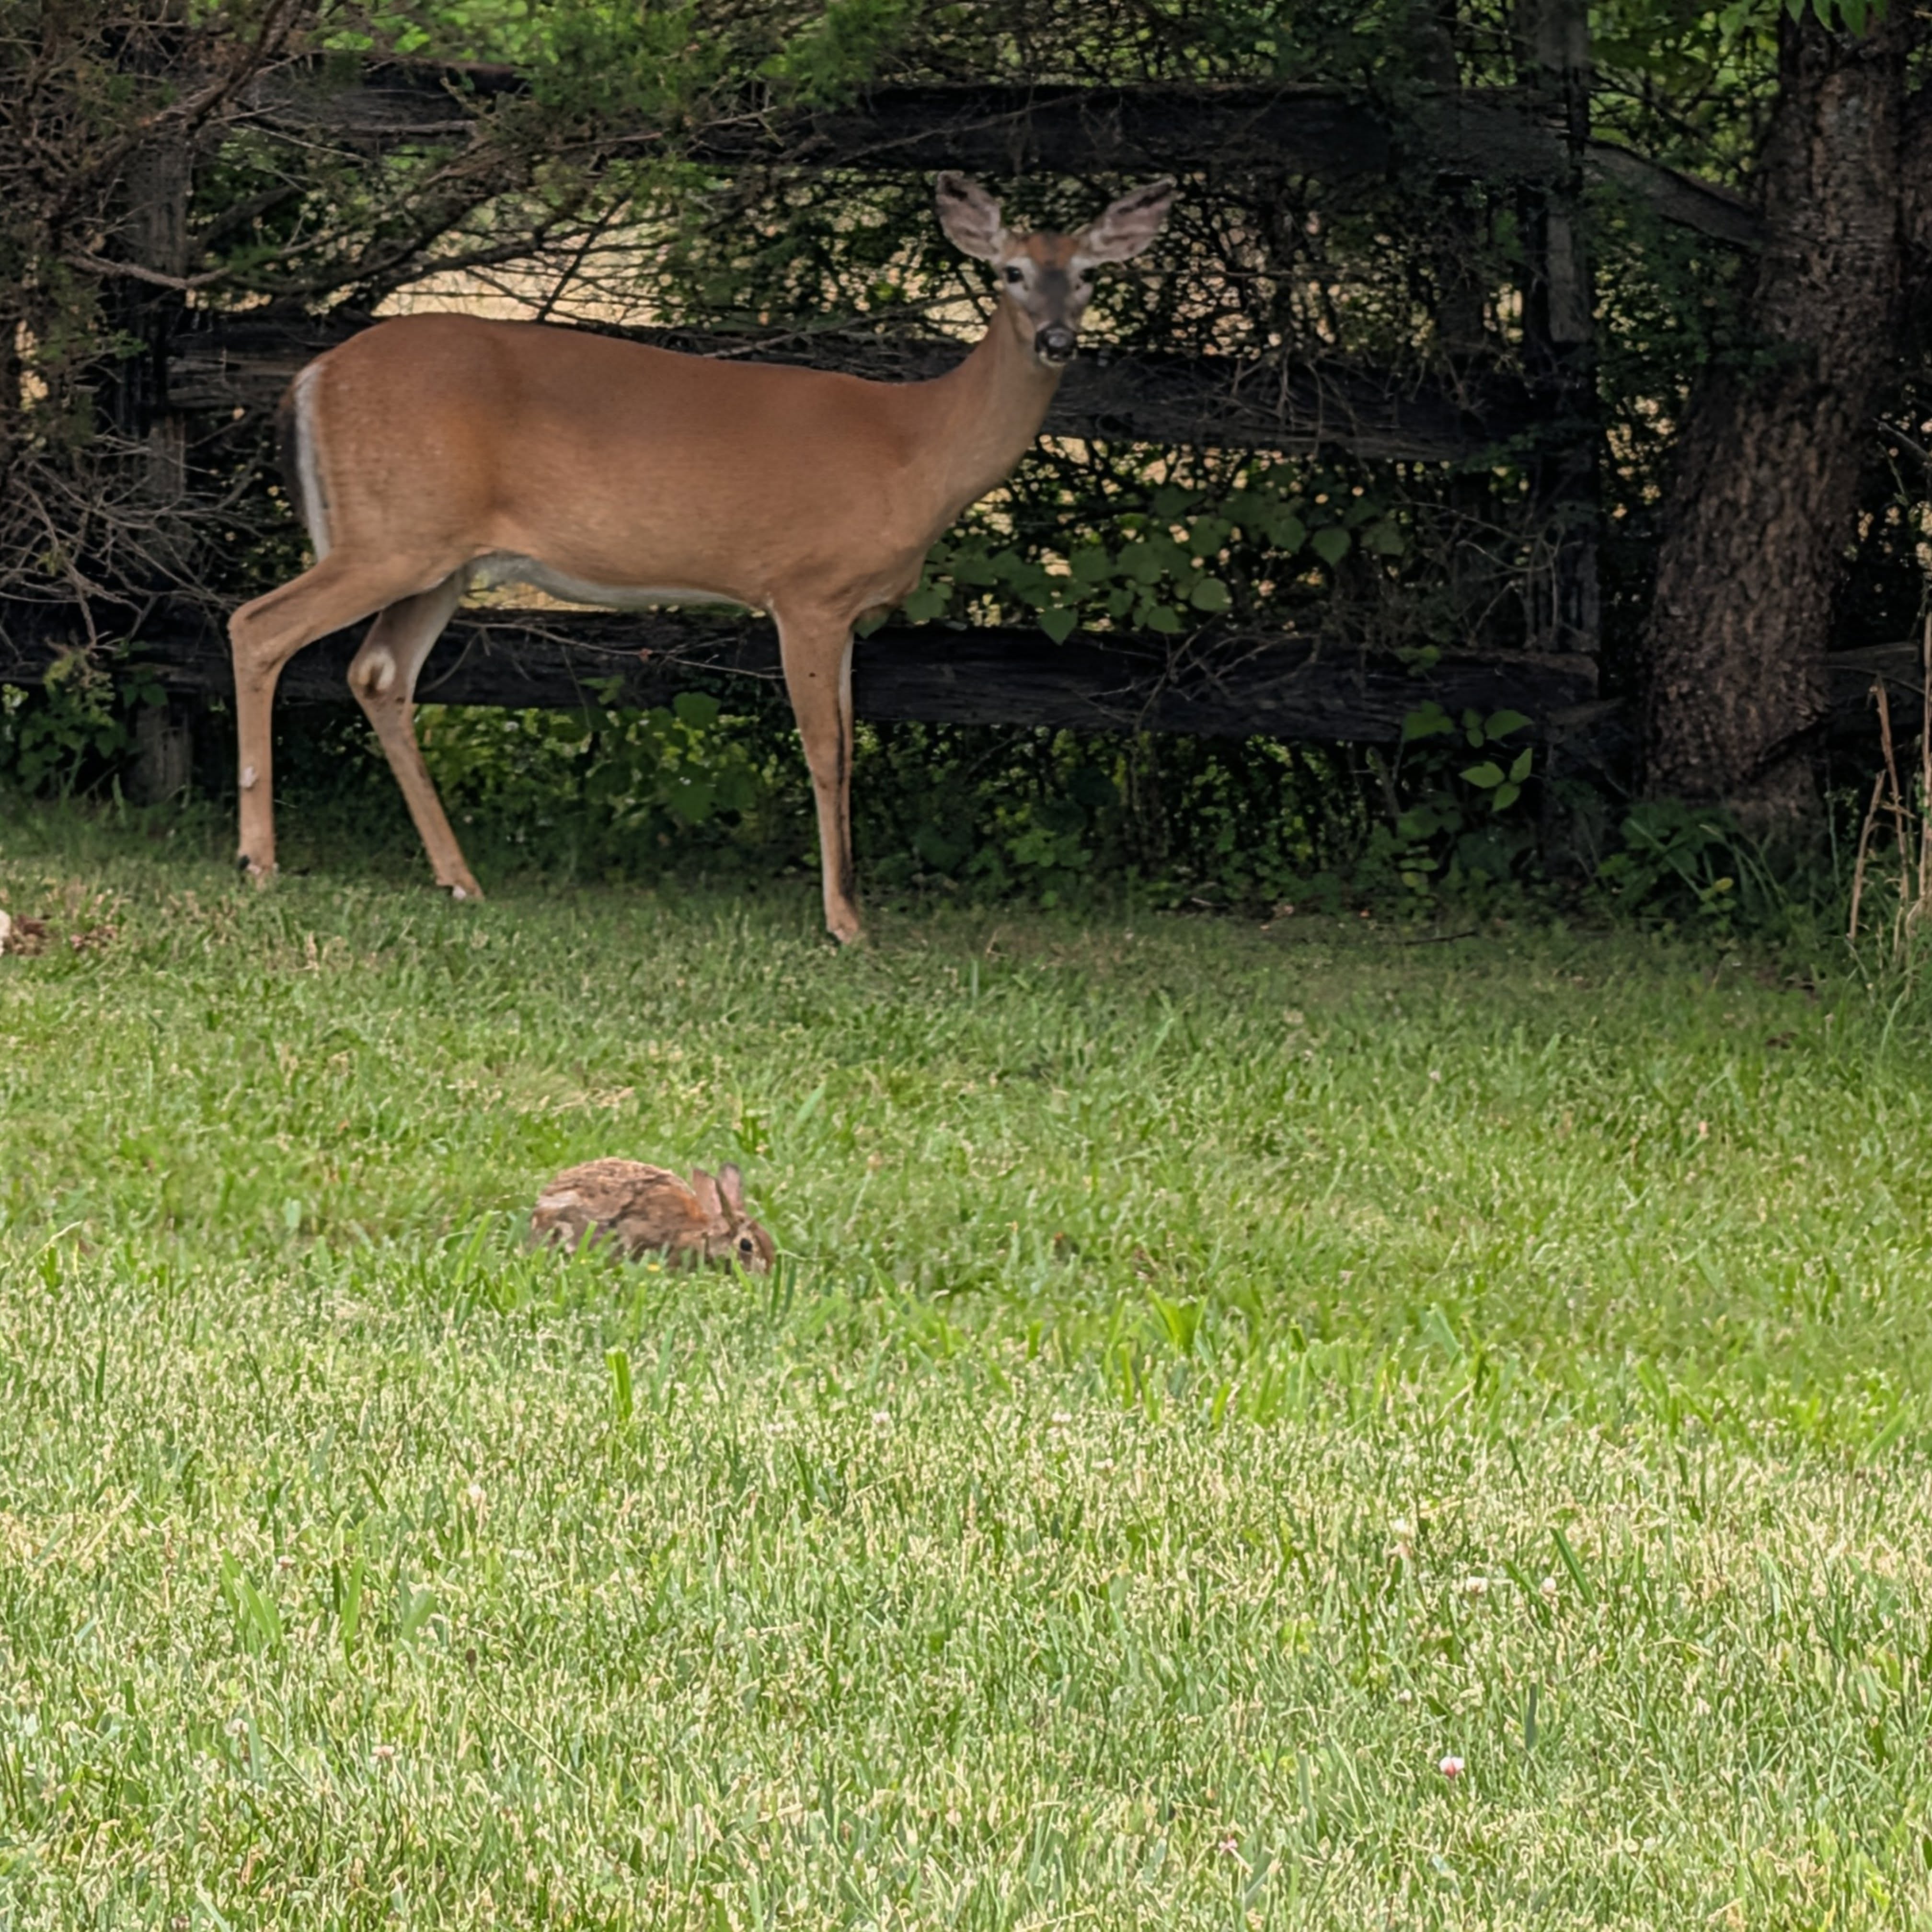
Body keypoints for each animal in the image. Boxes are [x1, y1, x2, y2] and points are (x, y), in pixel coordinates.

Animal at [228, 172, 1174, 944]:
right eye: (1009, 272)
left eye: (1088, 276)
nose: (1056, 340)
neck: (917, 450)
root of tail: (311, 378)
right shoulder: (806, 590)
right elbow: (826, 751)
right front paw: (843, 923)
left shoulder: (849, 614)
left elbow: (848, 748)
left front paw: (852, 908)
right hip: (391, 537)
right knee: (257, 625)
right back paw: (259, 861)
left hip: (439, 557)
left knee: (379, 672)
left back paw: (459, 880)